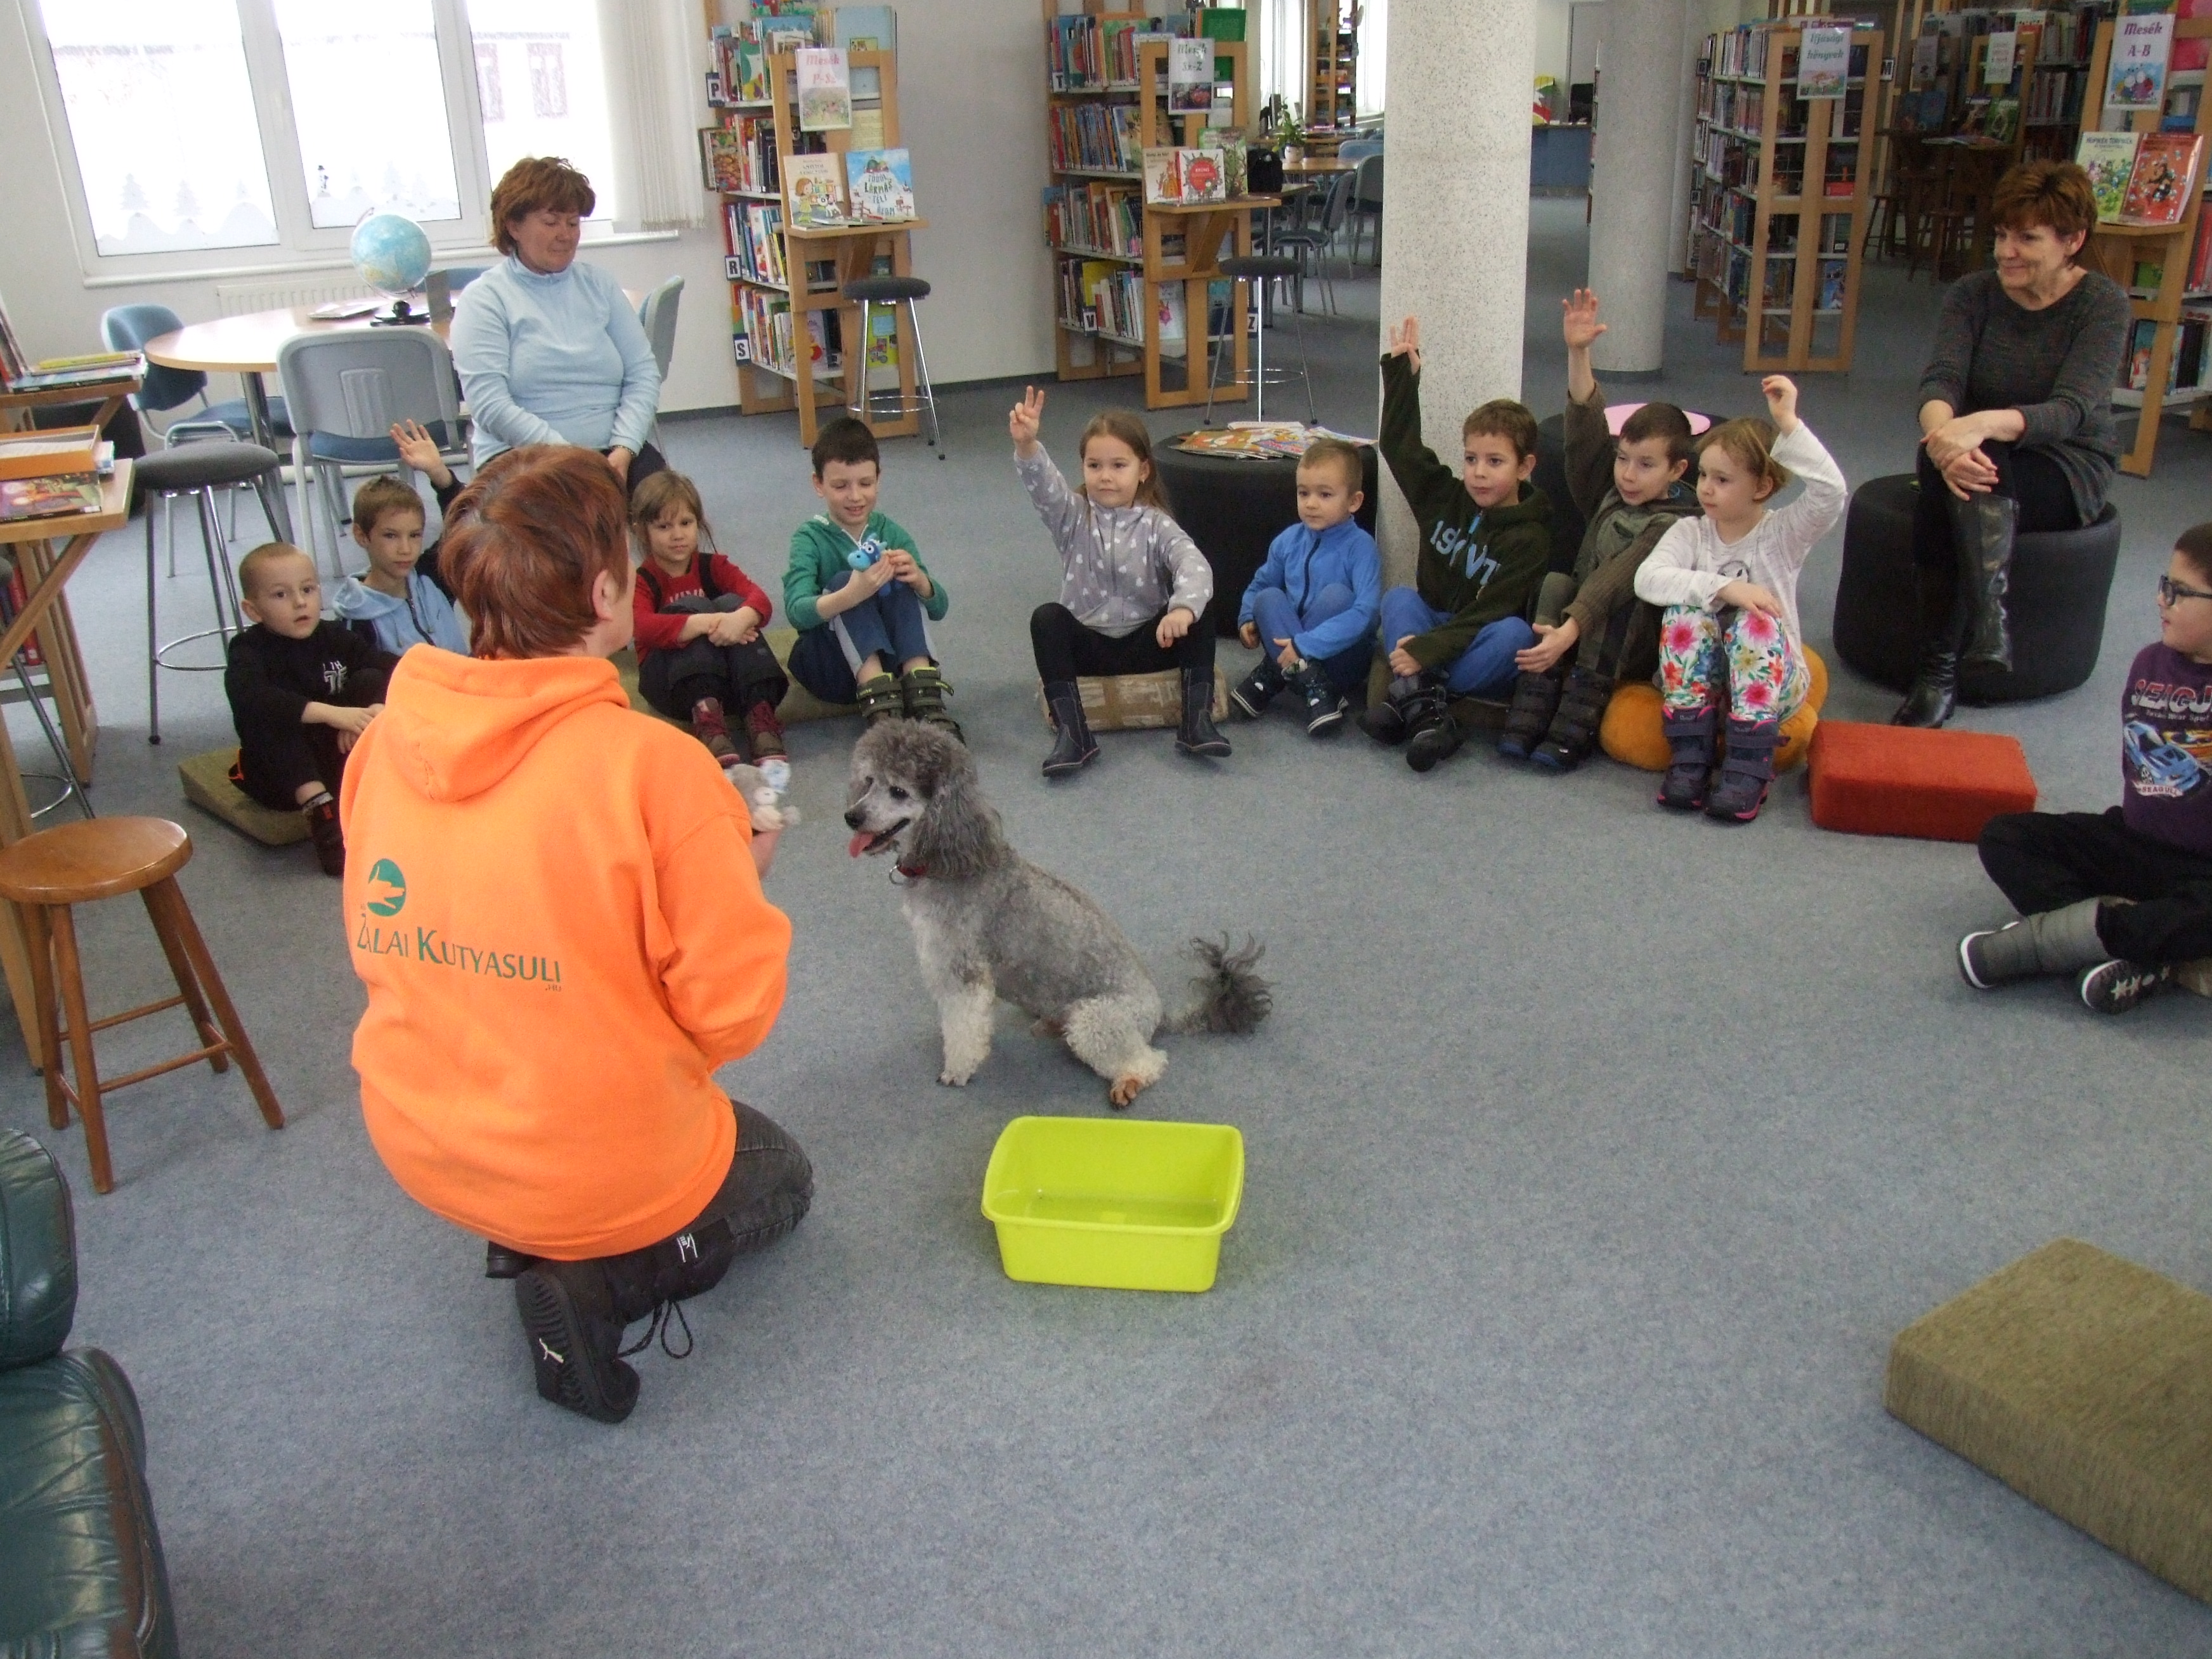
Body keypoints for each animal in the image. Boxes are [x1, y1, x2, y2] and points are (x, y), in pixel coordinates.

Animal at [844, 722, 1270, 1106]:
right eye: (869, 781)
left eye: (899, 791)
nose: (851, 817)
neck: (948, 860)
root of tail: (1159, 1015)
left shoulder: (962, 973)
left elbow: (962, 1027)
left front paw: (958, 1069)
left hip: (1095, 1020)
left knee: (1150, 1061)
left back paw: (1128, 1079)